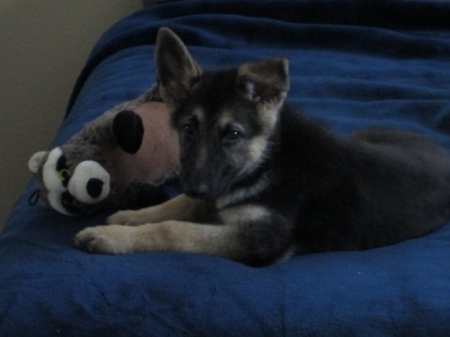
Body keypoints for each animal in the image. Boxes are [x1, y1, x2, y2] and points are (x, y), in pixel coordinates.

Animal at [75, 27, 450, 266]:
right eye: (188, 129)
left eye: (233, 135)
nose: (197, 187)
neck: (269, 162)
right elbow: (176, 206)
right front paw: (131, 217)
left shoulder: (260, 239)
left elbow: (174, 229)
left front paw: (110, 236)